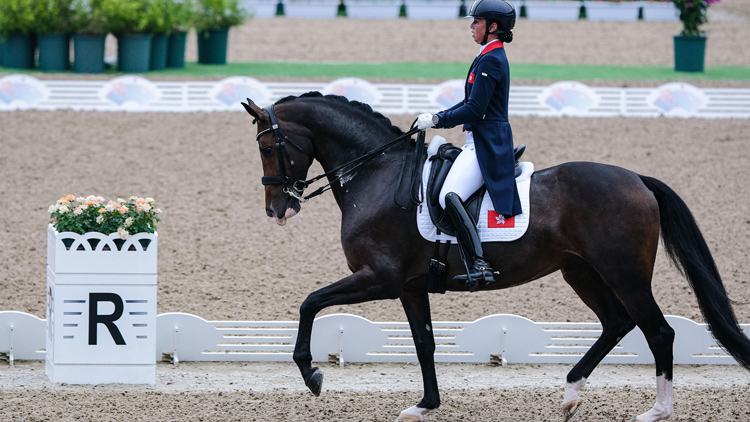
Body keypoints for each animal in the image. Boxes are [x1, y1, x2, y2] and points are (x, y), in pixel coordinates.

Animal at [242, 92, 750, 422]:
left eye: (267, 147)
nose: (277, 209)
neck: (377, 174)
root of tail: (638, 179)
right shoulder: (409, 287)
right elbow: (424, 343)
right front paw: (424, 405)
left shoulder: (380, 279)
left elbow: (310, 302)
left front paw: (311, 373)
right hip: (581, 272)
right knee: (617, 323)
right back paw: (570, 393)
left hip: (625, 275)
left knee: (658, 331)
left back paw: (656, 411)